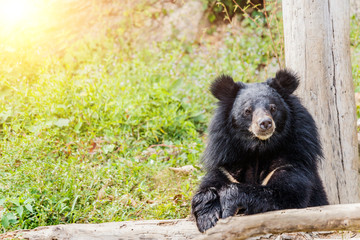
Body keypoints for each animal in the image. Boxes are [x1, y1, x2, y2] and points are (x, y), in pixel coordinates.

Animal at [193, 69, 328, 232]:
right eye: (247, 110)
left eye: (273, 108)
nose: (265, 123)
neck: (259, 149)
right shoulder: (226, 162)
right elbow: (206, 188)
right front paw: (207, 218)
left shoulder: (293, 158)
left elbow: (286, 194)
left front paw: (228, 202)